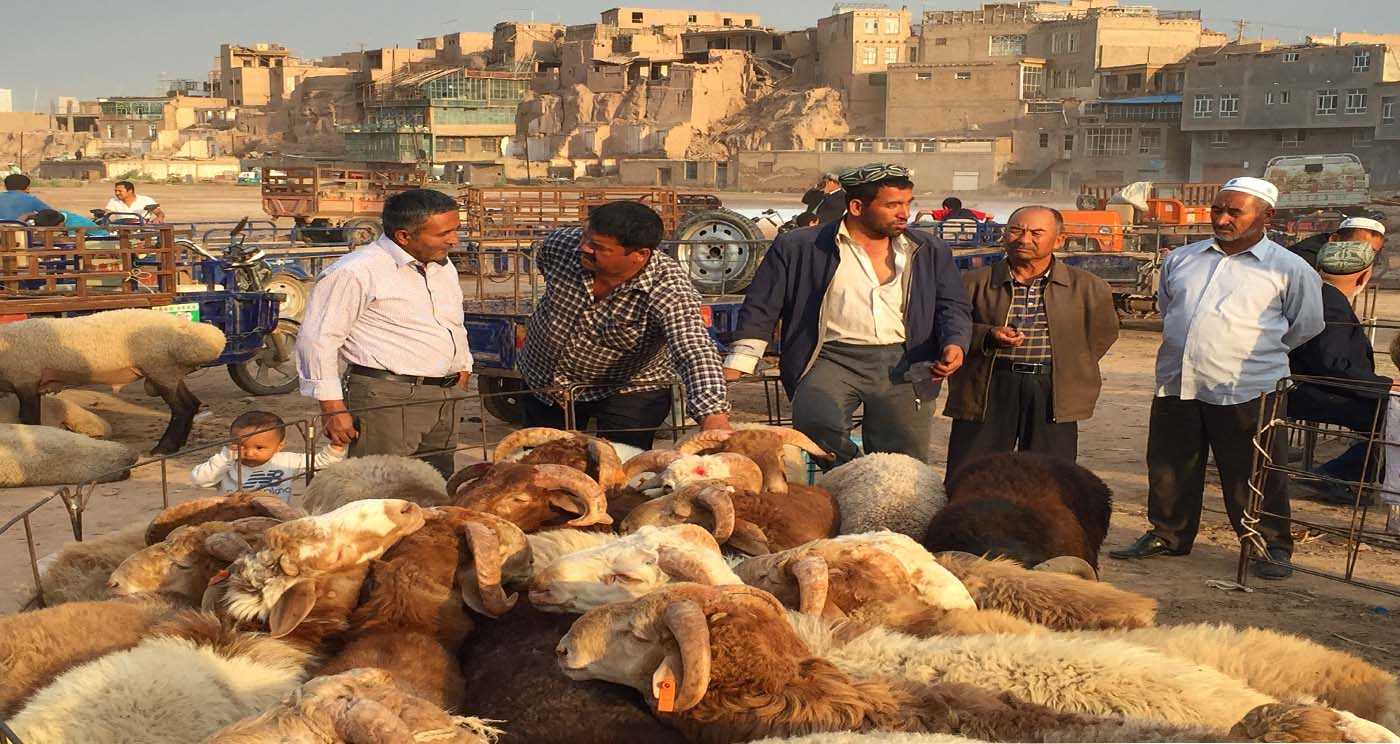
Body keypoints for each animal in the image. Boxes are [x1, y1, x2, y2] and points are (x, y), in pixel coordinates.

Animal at [0, 308, 225, 453]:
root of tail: (185, 326)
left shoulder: (26, 381)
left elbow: (28, 419)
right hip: (169, 373)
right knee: (192, 404)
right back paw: (178, 444)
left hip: (160, 369)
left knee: (182, 408)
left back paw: (164, 448)